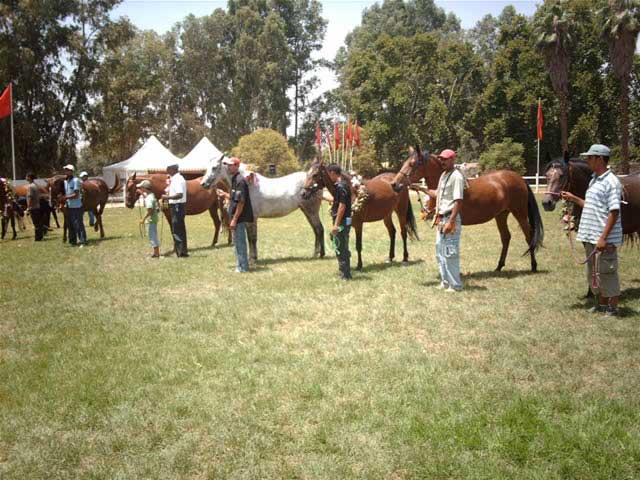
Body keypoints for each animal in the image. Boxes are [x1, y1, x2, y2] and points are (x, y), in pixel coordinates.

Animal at [392, 148, 544, 272]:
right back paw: (499, 266)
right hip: (501, 215)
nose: (394, 184)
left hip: (520, 213)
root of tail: (520, 179)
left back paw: (533, 266)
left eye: (412, 164)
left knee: (529, 236)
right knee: (506, 237)